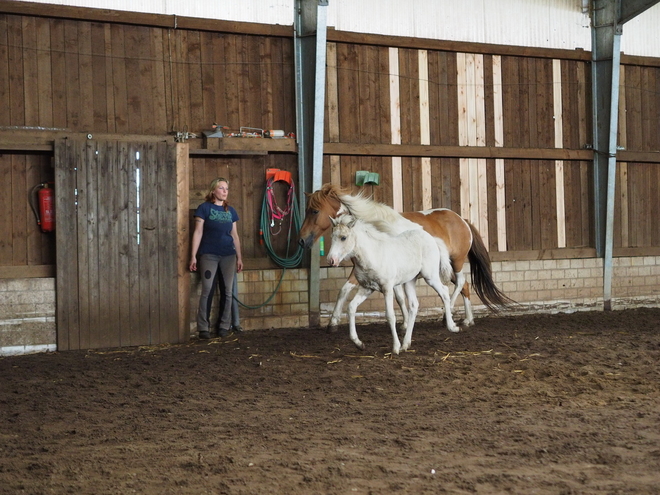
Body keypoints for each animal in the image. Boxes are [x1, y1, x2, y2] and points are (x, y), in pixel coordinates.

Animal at [296, 184, 512, 332]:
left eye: (314, 210)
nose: (301, 240)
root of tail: (462, 219)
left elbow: (399, 297)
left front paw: (405, 323)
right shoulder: (363, 269)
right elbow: (344, 290)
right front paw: (332, 322)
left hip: (455, 262)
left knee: (459, 283)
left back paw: (448, 316)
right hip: (443, 267)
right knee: (465, 285)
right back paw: (467, 320)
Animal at [326, 215, 458, 354]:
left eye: (343, 237)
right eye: (331, 236)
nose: (331, 260)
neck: (373, 255)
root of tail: (431, 238)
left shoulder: (387, 288)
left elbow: (390, 316)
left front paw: (395, 347)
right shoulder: (366, 288)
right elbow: (351, 307)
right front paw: (359, 343)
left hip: (430, 276)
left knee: (444, 292)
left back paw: (451, 326)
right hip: (410, 281)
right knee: (414, 305)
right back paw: (406, 344)